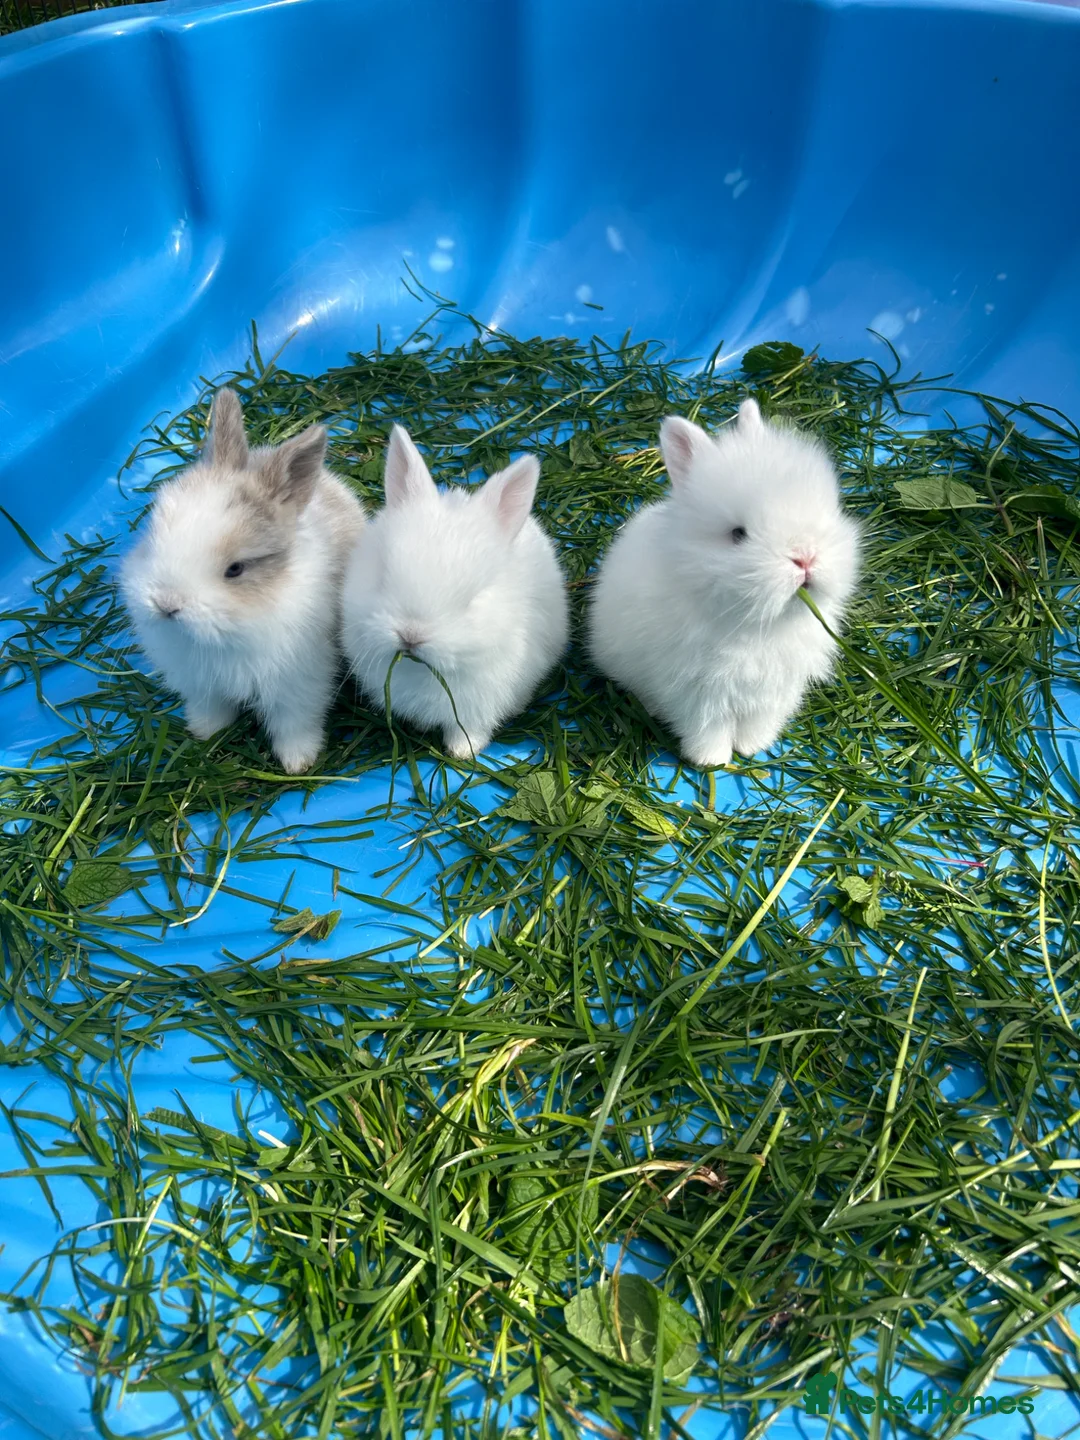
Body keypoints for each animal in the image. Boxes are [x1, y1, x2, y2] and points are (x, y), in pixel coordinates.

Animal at [120, 387, 365, 774]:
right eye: (153, 535)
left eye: (235, 569)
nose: (166, 604)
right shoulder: (200, 684)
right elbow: (211, 709)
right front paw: (204, 734)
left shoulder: (298, 684)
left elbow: (294, 724)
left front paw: (298, 762)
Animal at [341, 425, 569, 758]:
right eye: (382, 576)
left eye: (472, 599)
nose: (411, 636)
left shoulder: (480, 705)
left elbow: (471, 730)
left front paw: (462, 752)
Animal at [588, 397, 860, 768]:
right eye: (738, 534)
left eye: (825, 511)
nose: (805, 557)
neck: (759, 627)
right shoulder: (697, 694)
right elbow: (708, 728)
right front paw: (711, 761)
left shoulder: (775, 691)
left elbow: (759, 721)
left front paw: (753, 747)